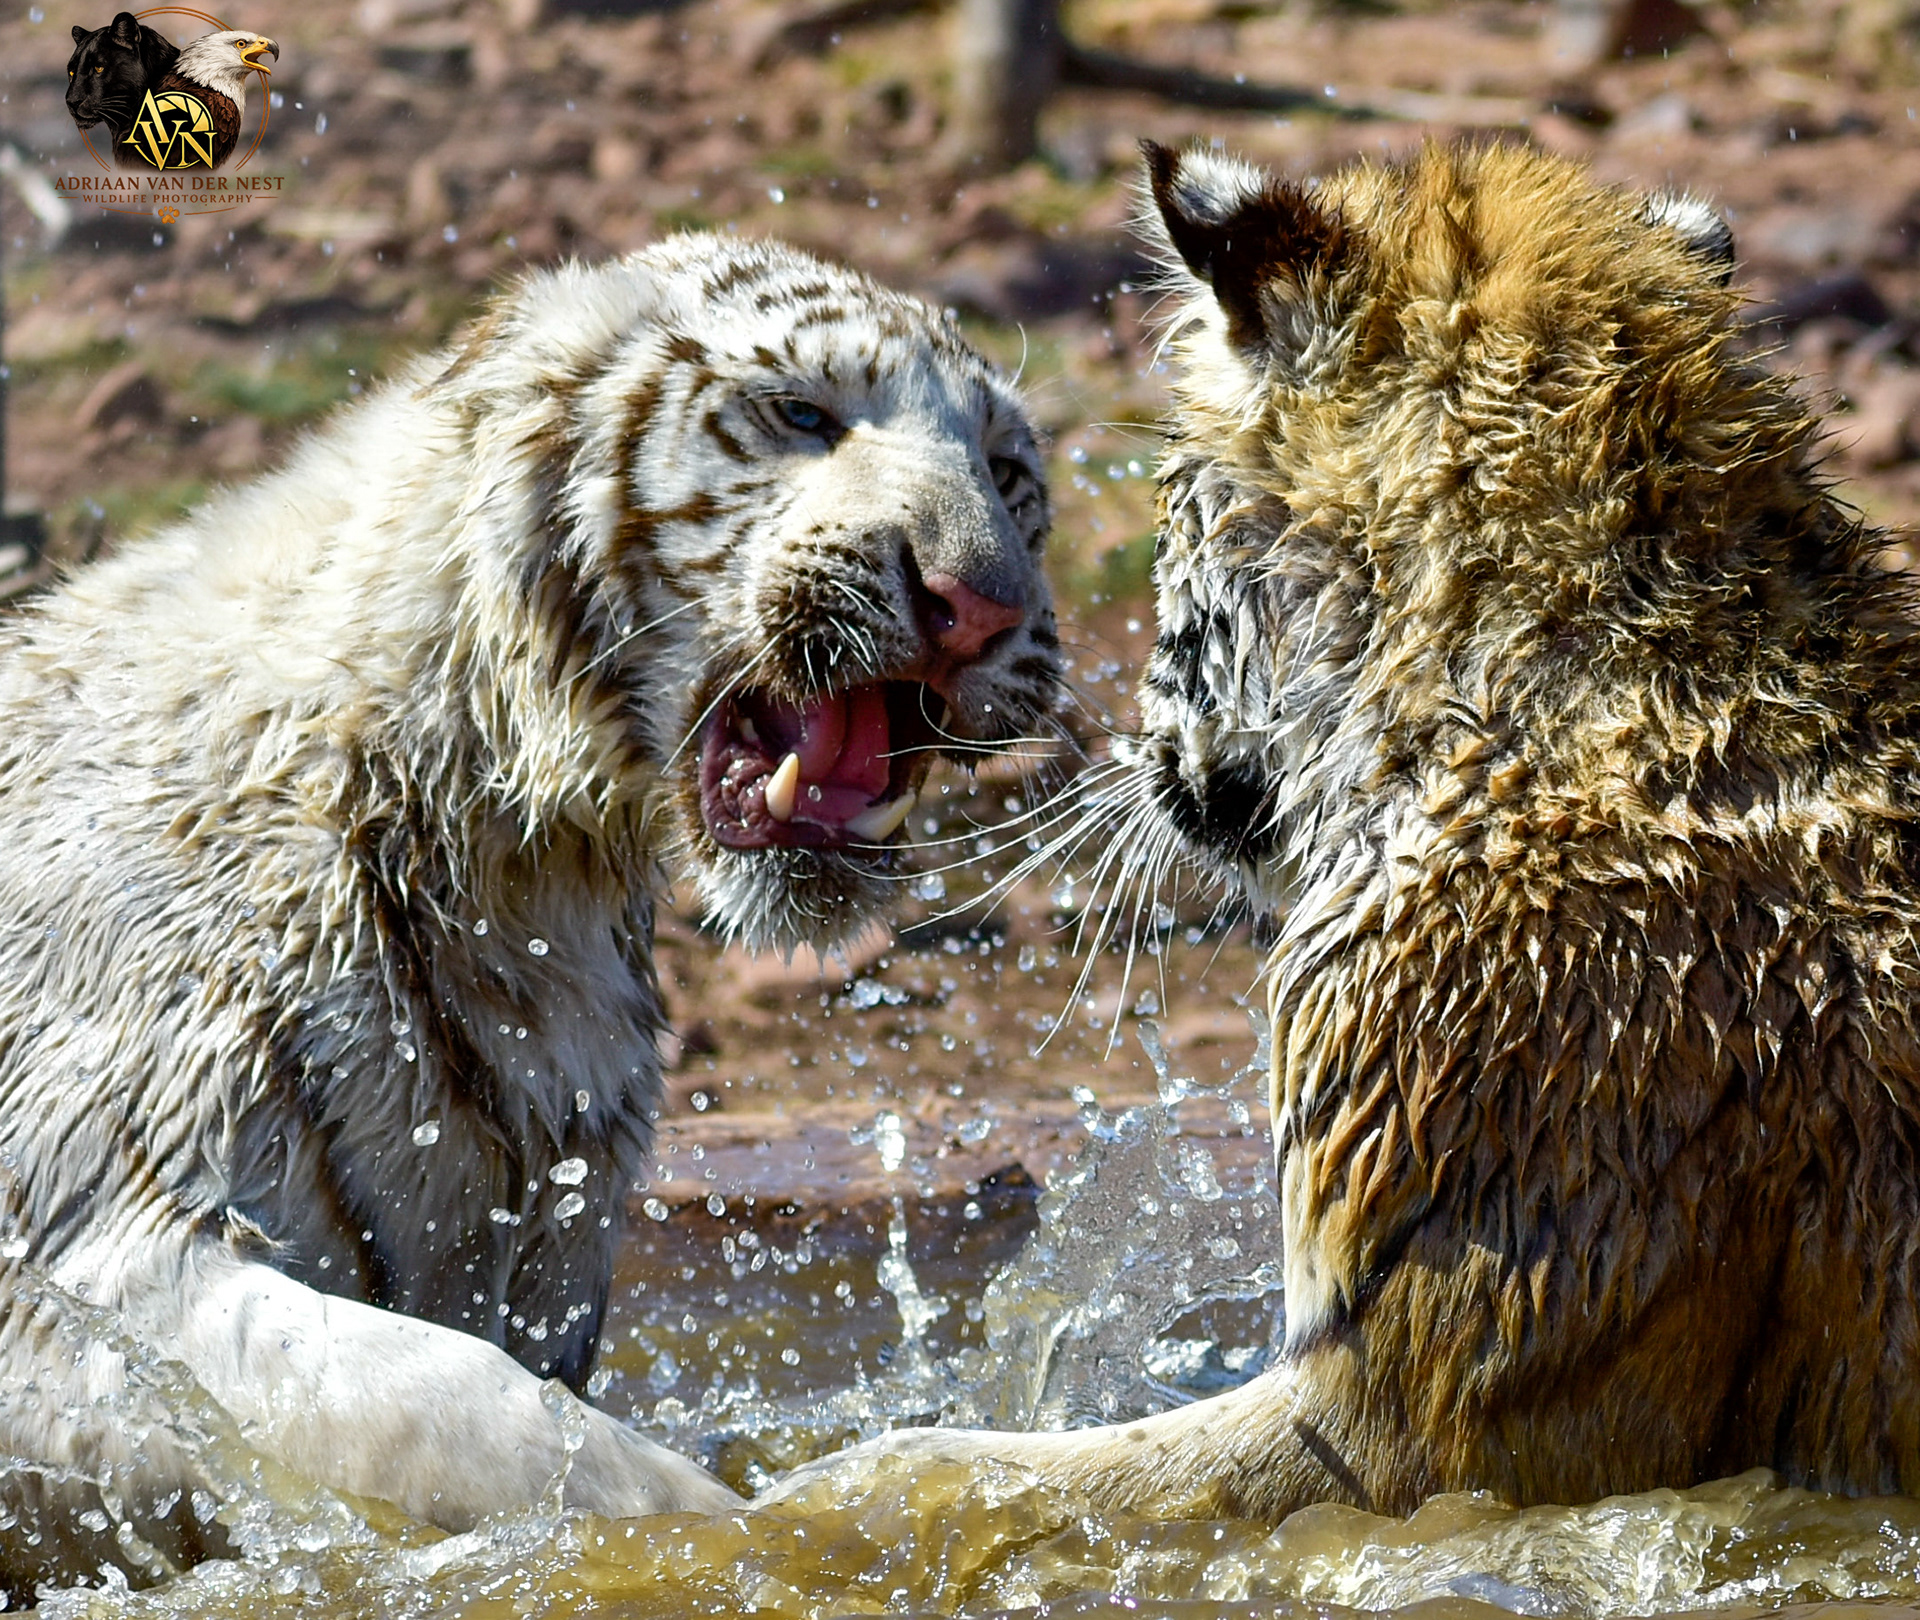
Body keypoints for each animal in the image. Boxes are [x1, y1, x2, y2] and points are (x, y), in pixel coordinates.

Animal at [0, 232, 1059, 1595]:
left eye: (1010, 473)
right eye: (801, 414)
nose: (980, 605)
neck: (517, 866)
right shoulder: (100, 1224)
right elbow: (446, 1405)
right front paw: (747, 1535)